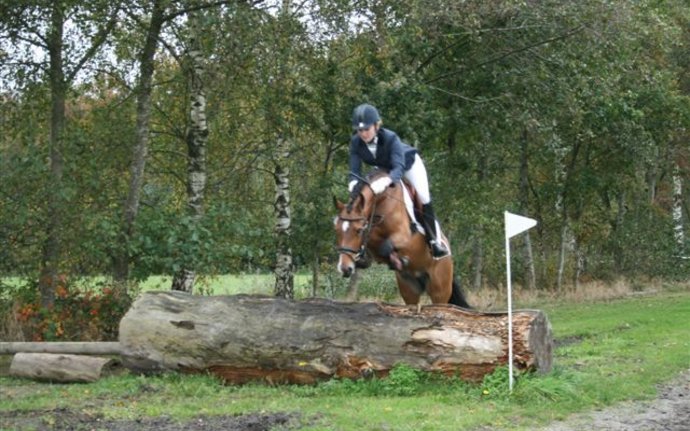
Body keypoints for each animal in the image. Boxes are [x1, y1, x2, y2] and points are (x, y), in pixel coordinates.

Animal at [333, 171, 470, 308]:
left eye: (359, 230)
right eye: (336, 229)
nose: (345, 268)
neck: (380, 201)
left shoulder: (405, 237)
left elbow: (385, 247)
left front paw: (399, 261)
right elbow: (376, 243)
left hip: (439, 289)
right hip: (409, 289)